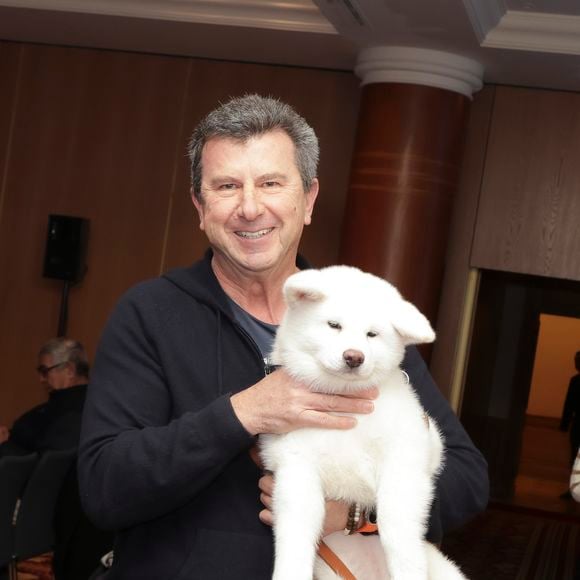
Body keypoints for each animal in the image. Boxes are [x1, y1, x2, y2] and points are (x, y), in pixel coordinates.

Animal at [260, 268, 468, 580]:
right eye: (334, 325)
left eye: (372, 334)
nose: (353, 357)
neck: (346, 408)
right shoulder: (296, 468)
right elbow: (295, 533)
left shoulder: (404, 460)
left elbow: (396, 526)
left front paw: (407, 569)